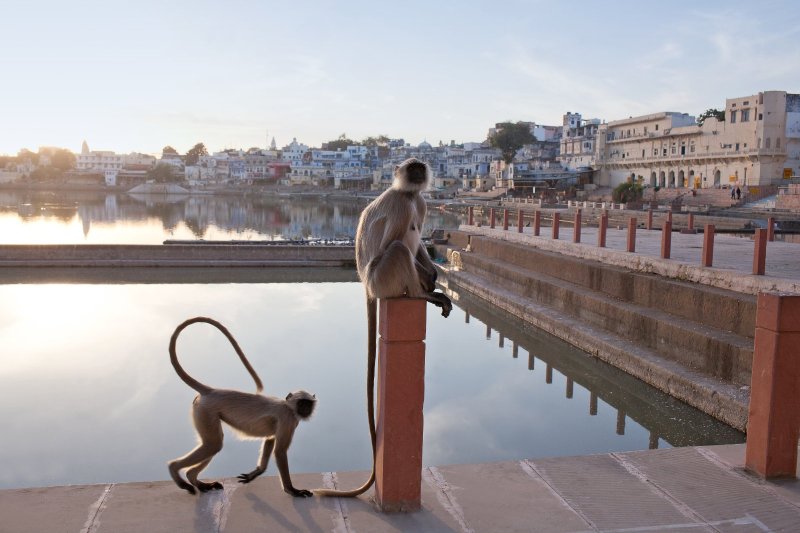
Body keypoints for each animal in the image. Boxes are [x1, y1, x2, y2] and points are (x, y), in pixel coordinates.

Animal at [167, 316, 316, 498]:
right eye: (301, 403)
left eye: (308, 404)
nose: (305, 410)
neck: (288, 407)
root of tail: (211, 390)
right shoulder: (288, 419)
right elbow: (280, 452)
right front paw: (292, 490)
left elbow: (270, 439)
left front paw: (256, 473)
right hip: (206, 411)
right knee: (213, 444)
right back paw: (176, 470)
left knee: (213, 443)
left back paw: (195, 480)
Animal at [315, 158, 451, 498]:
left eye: (419, 169)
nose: (416, 175)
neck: (408, 193)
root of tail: (367, 284)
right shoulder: (403, 205)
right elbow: (393, 242)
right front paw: (429, 282)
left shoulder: (420, 202)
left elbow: (422, 243)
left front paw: (434, 273)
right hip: (383, 276)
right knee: (399, 249)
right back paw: (420, 294)